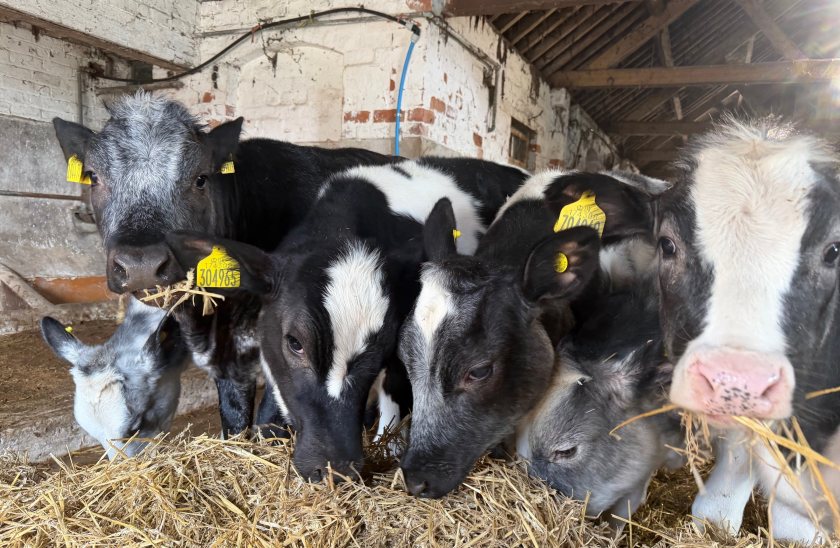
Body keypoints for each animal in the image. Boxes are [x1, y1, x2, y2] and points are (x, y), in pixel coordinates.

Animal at [166, 159, 528, 481]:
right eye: (294, 342)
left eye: (386, 344)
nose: (334, 468)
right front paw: (266, 436)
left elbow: (394, 396)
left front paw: (389, 448)